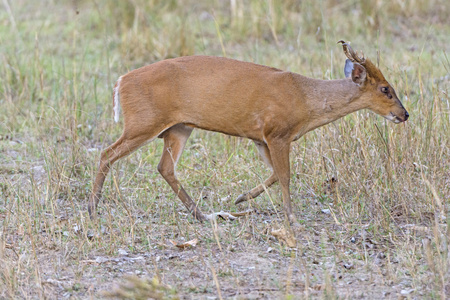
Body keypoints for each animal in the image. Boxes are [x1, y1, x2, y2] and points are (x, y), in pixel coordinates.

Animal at [88, 40, 408, 225]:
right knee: (107, 153)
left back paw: (203, 214)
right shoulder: (277, 133)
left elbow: (275, 174)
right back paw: (92, 209)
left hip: (178, 127)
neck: (306, 100)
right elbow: (286, 175)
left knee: (165, 167)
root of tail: (121, 81)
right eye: (386, 89)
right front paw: (291, 218)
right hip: (144, 122)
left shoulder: (261, 138)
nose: (404, 114)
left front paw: (241, 198)